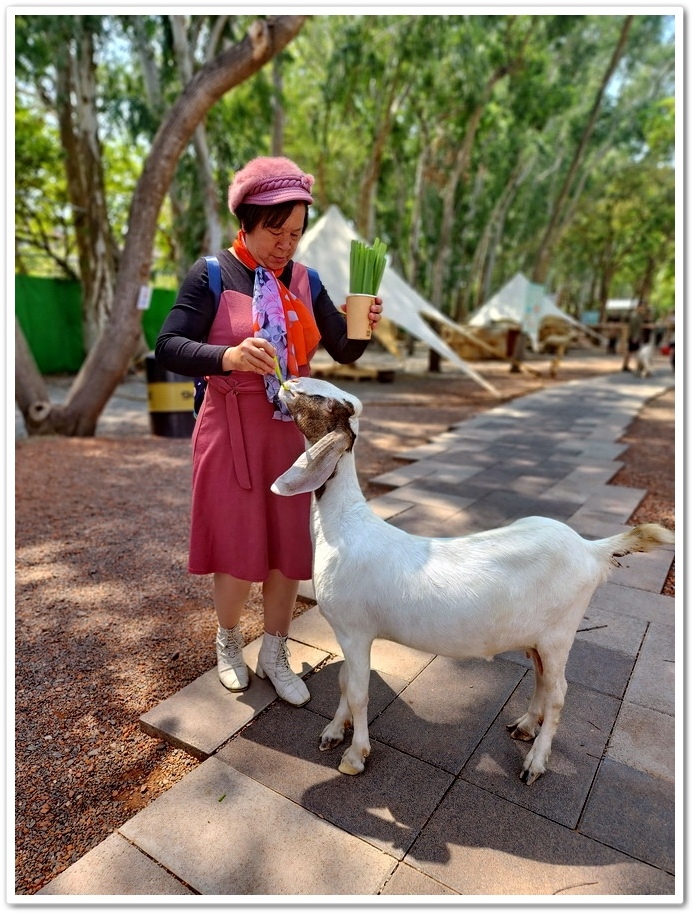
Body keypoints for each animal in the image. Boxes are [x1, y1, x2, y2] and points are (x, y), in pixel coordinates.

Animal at [272, 376, 676, 784]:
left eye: (322, 397)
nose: (287, 382)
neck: (343, 526)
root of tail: (591, 549)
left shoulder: (355, 630)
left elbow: (357, 692)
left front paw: (355, 757)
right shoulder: (345, 634)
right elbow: (343, 683)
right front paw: (332, 733)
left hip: (559, 634)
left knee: (559, 691)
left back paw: (535, 763)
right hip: (536, 637)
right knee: (542, 679)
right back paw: (525, 726)